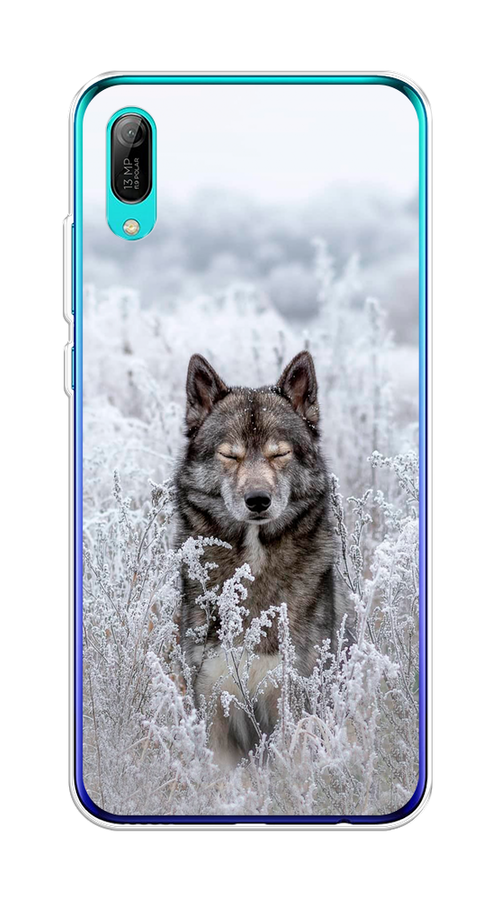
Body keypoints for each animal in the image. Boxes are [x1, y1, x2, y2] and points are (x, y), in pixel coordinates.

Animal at [175, 350, 348, 766]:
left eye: (279, 453)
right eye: (230, 455)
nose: (258, 500)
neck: (253, 566)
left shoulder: (292, 705)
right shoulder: (213, 708)